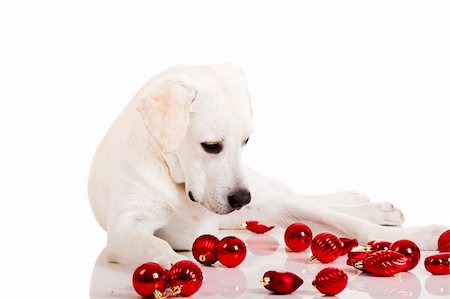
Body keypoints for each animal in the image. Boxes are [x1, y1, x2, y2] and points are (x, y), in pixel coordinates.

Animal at [89, 62, 446, 268]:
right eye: (210, 146)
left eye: (246, 141)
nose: (240, 198)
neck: (172, 173)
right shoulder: (125, 227)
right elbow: (154, 245)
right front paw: (170, 269)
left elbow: (355, 226)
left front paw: (423, 235)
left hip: (263, 196)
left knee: (301, 197)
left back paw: (370, 206)